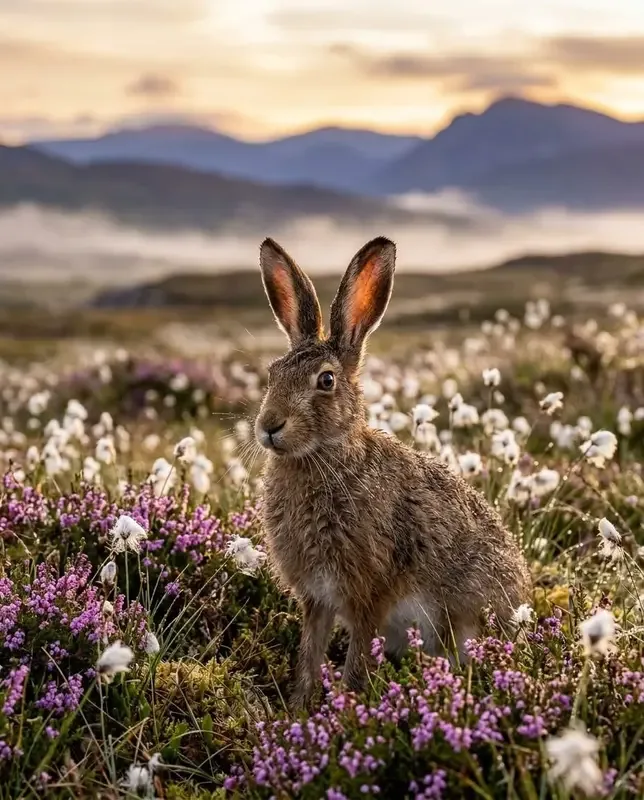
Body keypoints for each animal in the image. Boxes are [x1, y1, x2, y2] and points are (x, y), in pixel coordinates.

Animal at [254, 235, 531, 709]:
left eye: (325, 381)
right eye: (272, 374)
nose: (269, 425)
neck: (326, 457)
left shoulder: (369, 592)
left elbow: (356, 661)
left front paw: (343, 711)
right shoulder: (317, 597)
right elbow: (309, 656)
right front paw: (298, 712)